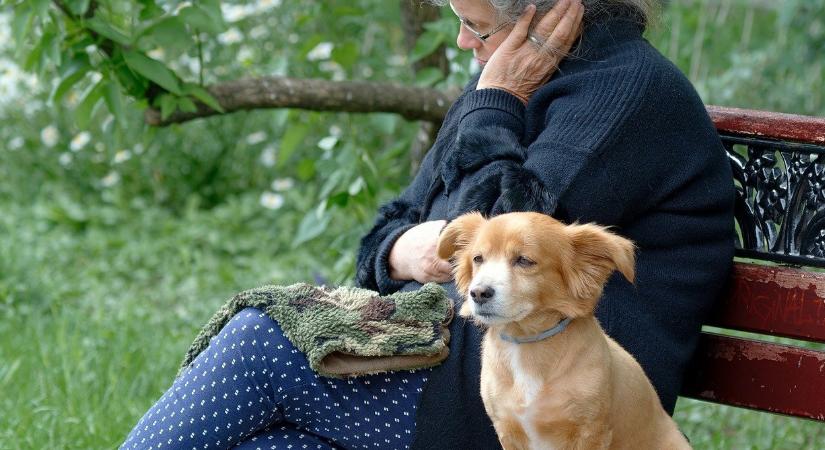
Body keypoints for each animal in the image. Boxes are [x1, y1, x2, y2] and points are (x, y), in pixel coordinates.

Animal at [438, 212, 688, 450]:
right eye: (478, 259)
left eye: (524, 260)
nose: (478, 293)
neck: (526, 340)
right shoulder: (507, 430)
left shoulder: (591, 433)